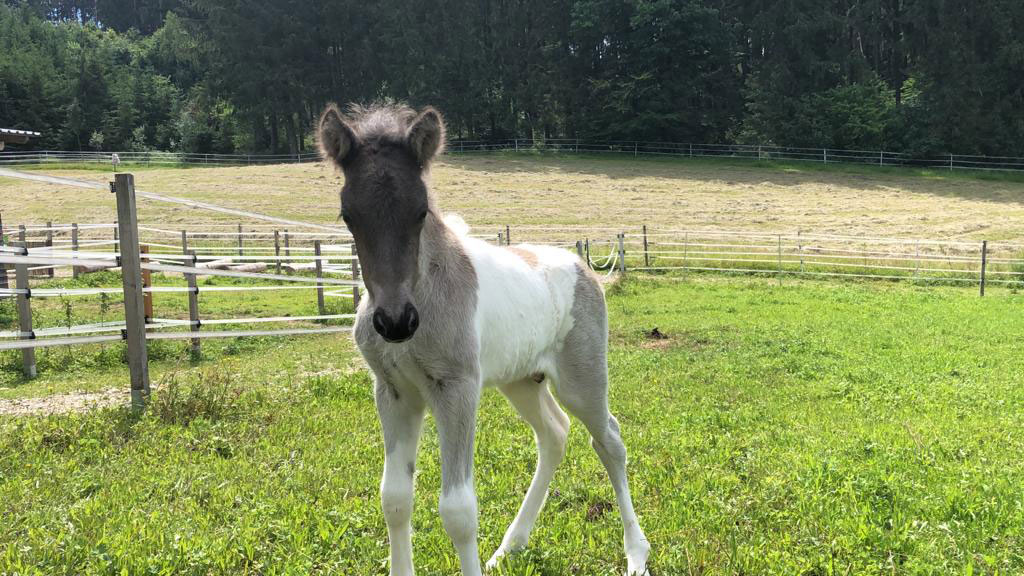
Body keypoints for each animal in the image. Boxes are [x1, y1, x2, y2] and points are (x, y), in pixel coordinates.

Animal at [317, 103, 650, 575]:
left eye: (421, 211)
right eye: (349, 215)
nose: (396, 322)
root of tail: (581, 265)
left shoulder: (457, 388)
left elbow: (458, 510)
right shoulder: (393, 391)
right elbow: (394, 499)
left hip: (582, 379)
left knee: (610, 440)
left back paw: (636, 552)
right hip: (522, 381)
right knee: (554, 434)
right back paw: (511, 545)